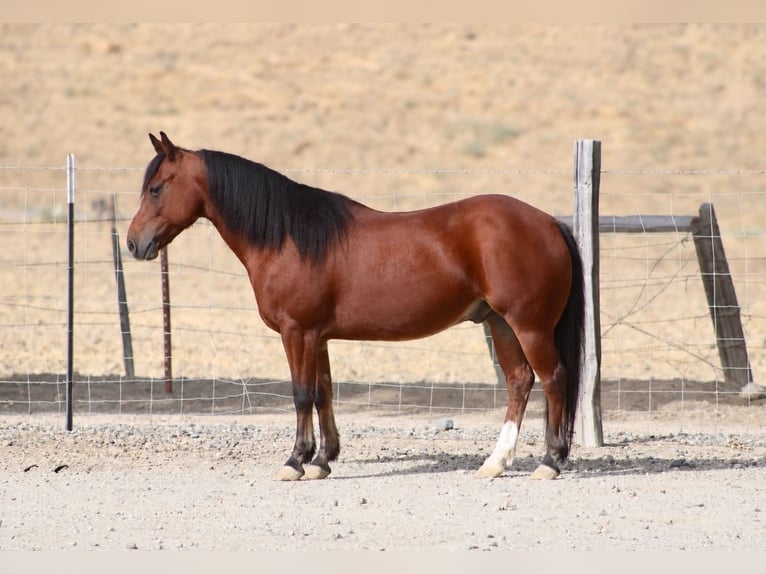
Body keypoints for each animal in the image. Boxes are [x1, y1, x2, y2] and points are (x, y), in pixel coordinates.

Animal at [127, 132, 584, 482]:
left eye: (156, 188)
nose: (134, 243)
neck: (289, 238)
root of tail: (547, 222)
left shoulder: (297, 332)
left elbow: (301, 394)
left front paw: (295, 461)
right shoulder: (318, 337)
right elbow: (323, 393)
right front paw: (322, 460)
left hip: (529, 326)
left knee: (553, 379)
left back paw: (550, 462)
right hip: (501, 324)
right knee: (520, 382)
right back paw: (495, 462)